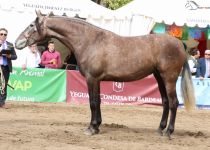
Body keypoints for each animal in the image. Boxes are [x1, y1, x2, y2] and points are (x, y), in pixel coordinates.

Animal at [14, 10, 195, 139]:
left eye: (31, 25)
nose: (17, 42)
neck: (90, 41)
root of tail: (179, 43)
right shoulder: (97, 80)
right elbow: (99, 102)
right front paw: (97, 126)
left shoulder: (91, 78)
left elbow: (93, 102)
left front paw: (91, 128)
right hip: (159, 78)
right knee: (165, 102)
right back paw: (160, 129)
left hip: (169, 78)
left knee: (173, 103)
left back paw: (168, 132)